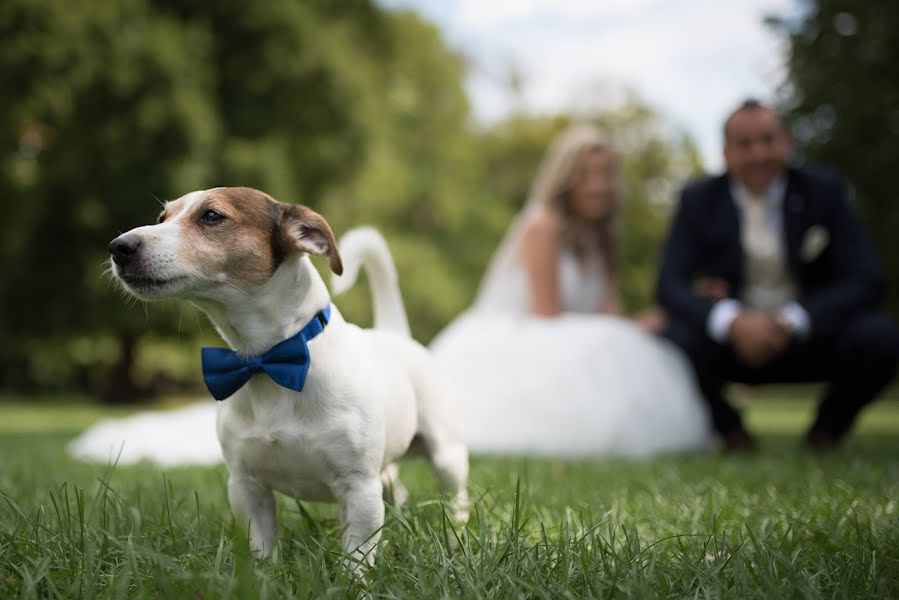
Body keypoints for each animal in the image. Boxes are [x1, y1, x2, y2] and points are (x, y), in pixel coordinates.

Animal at [109, 189, 468, 572]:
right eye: (162, 218)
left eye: (212, 216)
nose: (118, 246)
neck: (268, 361)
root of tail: (394, 334)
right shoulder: (247, 487)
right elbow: (261, 548)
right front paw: (264, 575)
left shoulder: (359, 488)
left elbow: (356, 558)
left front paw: (353, 580)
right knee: (397, 492)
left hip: (446, 457)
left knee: (456, 499)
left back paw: (457, 538)